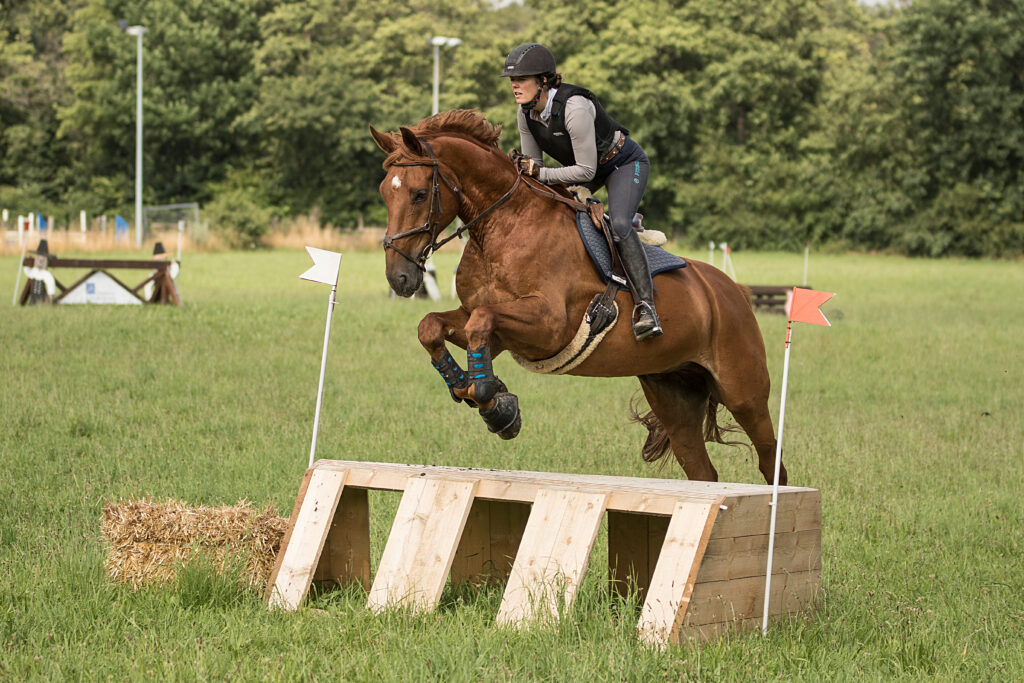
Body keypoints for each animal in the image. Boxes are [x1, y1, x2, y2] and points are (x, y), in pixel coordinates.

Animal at [369, 110, 785, 485]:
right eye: (384, 193)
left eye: (419, 194)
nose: (399, 277)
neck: (504, 226)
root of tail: (732, 292)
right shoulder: (493, 328)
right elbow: (434, 326)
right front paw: (482, 394)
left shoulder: (548, 326)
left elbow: (480, 322)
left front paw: (493, 401)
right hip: (673, 393)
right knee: (702, 470)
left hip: (744, 393)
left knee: (771, 463)